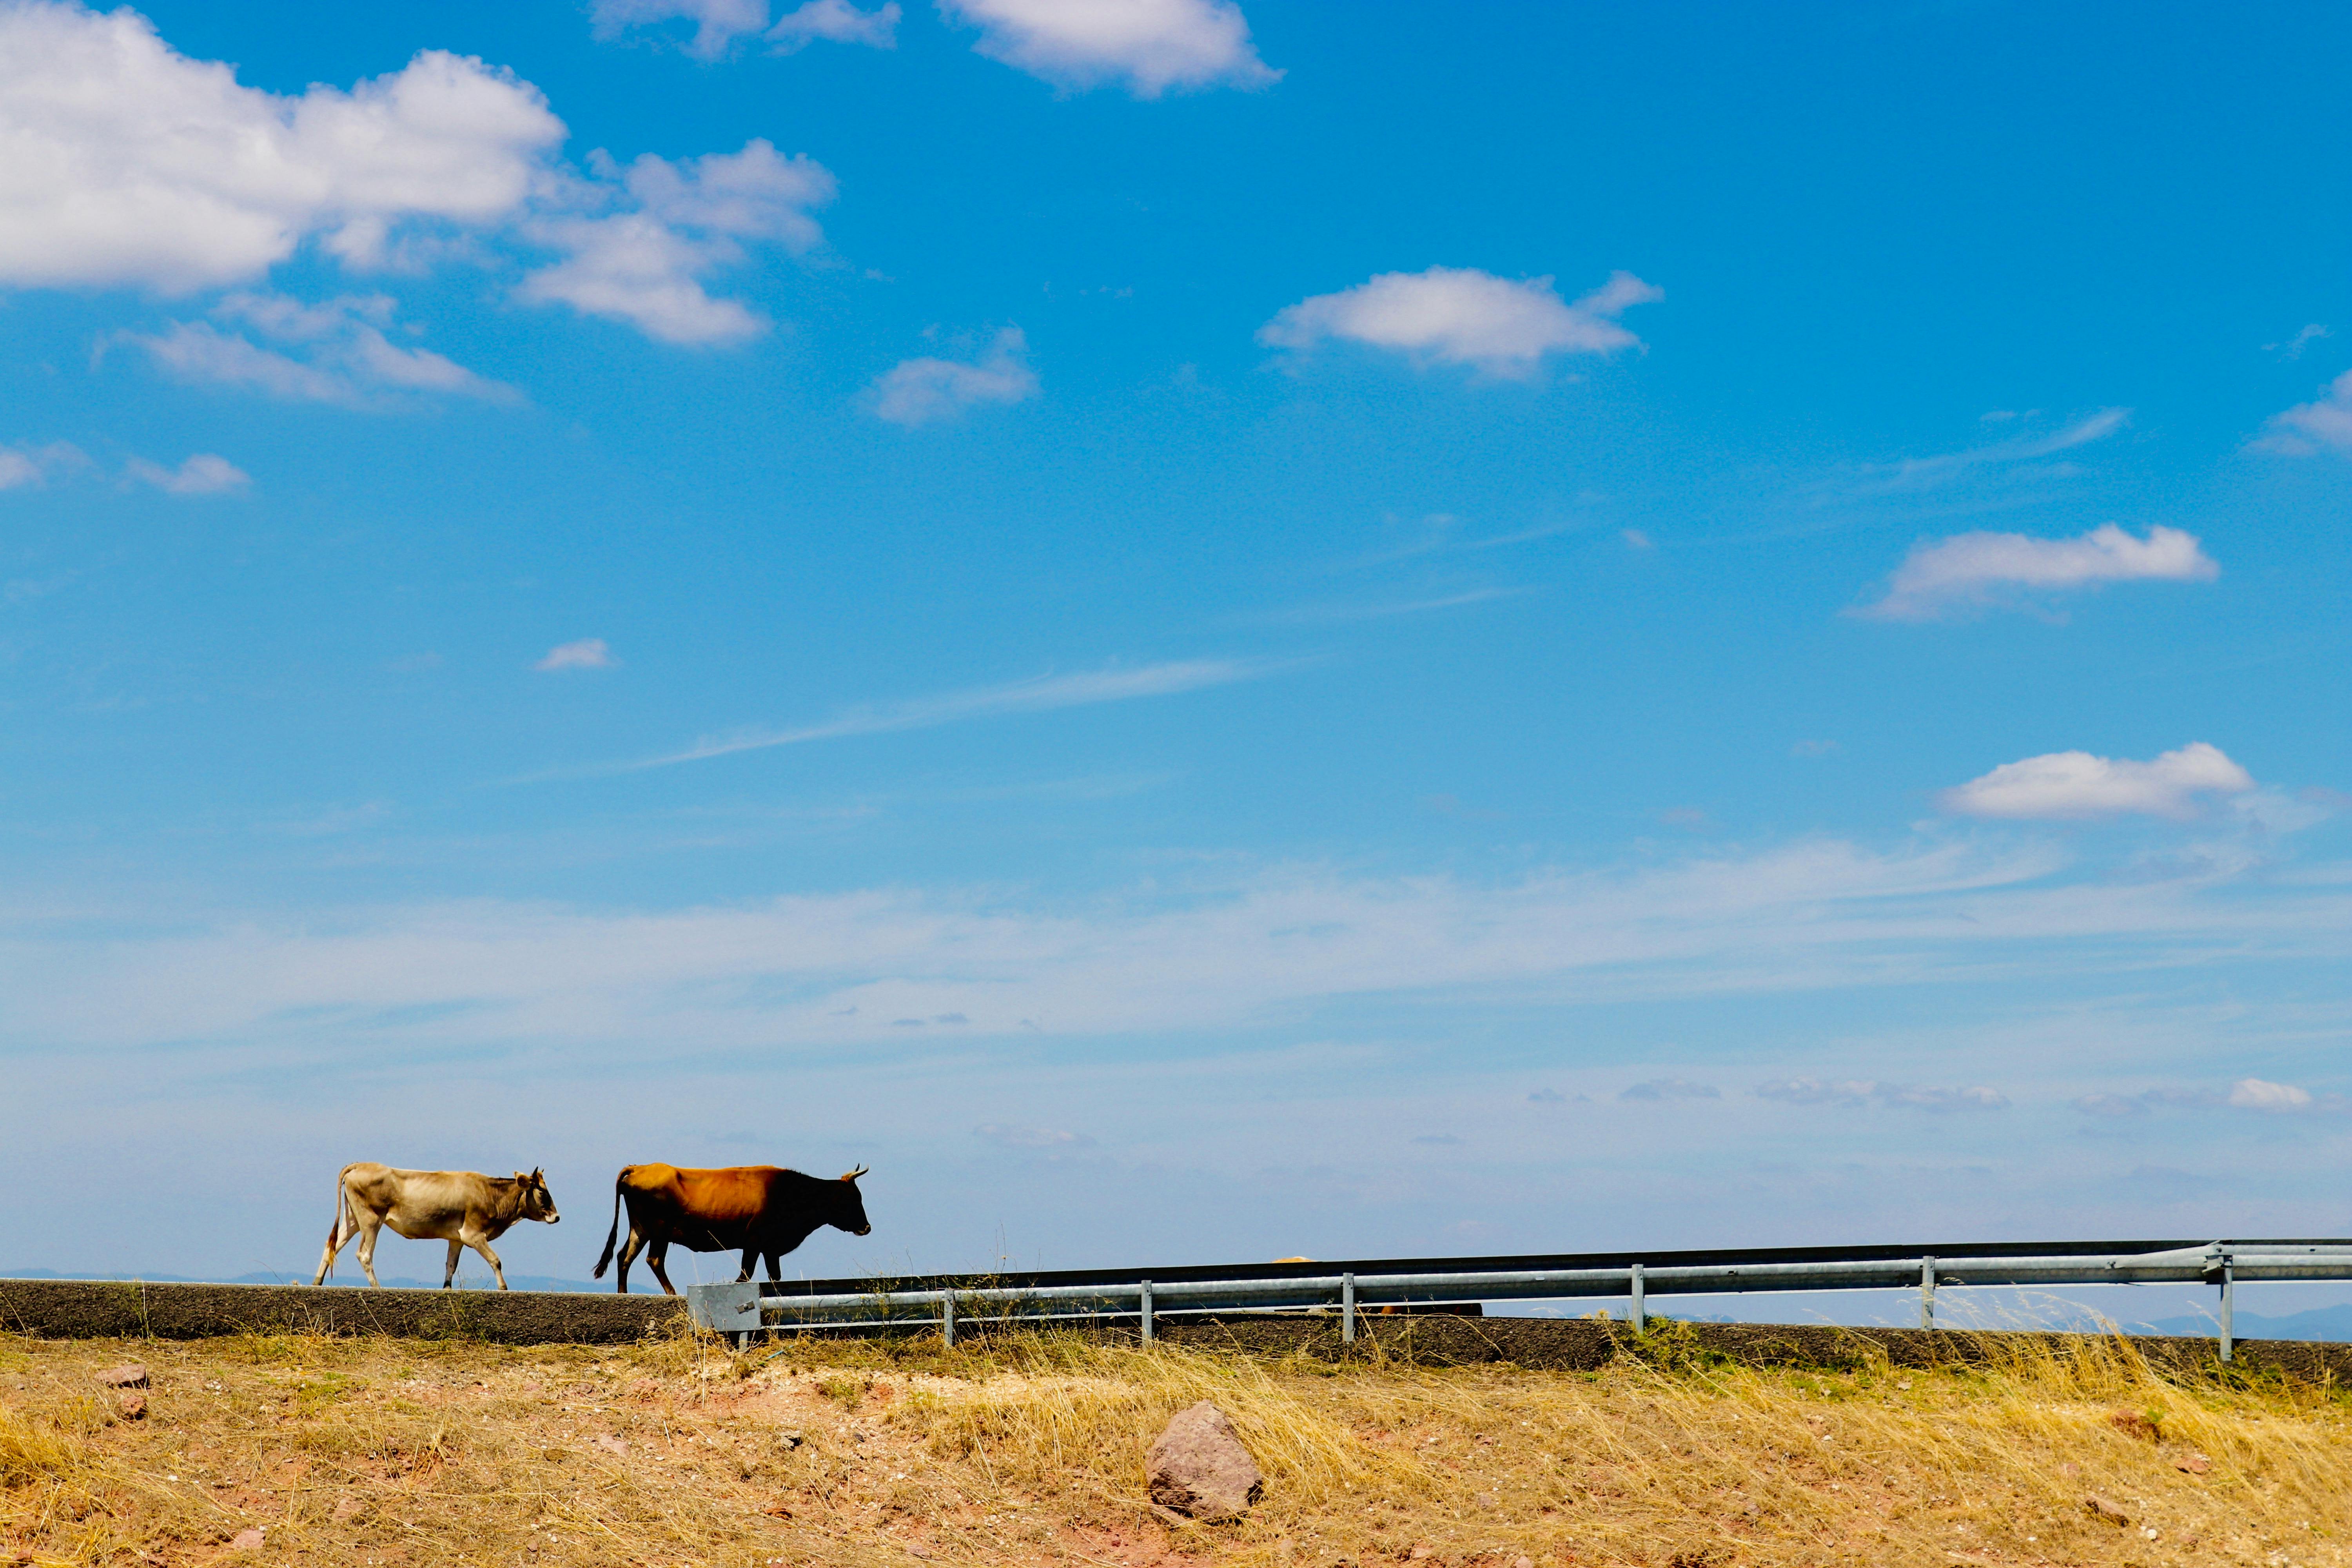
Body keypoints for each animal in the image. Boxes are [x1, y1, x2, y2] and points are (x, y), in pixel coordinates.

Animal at [313, 1161, 560, 1298]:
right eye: (543, 1193)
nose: (557, 1217)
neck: (491, 1195)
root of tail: (360, 1165)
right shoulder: (474, 1235)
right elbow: (495, 1260)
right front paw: (504, 1288)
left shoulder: (457, 1239)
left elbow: (451, 1265)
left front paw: (447, 1289)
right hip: (371, 1220)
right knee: (364, 1254)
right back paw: (377, 1287)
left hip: (353, 1220)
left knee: (331, 1246)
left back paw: (317, 1282)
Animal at [597, 1166, 875, 1298]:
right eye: (851, 1199)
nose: (867, 1227)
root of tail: (640, 1167)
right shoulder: (753, 1242)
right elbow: (745, 1275)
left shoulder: (770, 1249)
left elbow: (775, 1277)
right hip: (659, 1232)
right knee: (654, 1259)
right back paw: (672, 1293)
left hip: (640, 1229)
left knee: (624, 1257)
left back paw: (622, 1293)